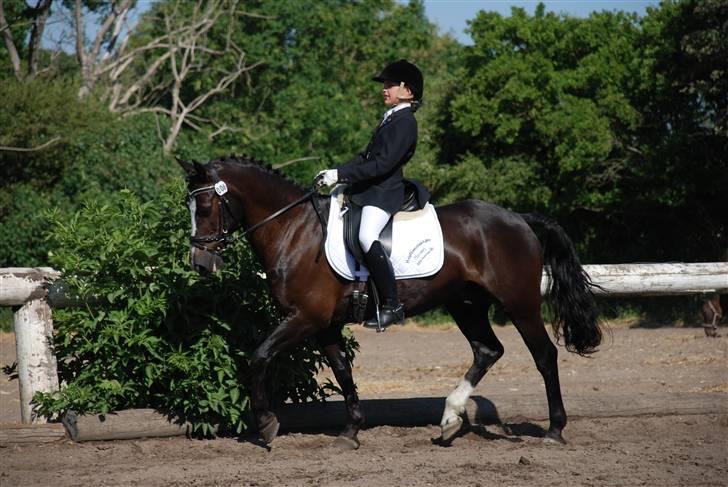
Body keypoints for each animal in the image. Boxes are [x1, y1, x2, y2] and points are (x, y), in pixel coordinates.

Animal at [178, 155, 604, 450]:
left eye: (205, 207)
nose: (200, 264)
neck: (294, 231)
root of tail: (518, 218)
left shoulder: (305, 318)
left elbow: (259, 356)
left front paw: (267, 423)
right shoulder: (325, 325)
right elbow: (343, 372)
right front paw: (351, 431)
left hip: (520, 304)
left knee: (544, 355)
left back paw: (554, 430)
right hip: (465, 305)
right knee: (487, 350)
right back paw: (450, 420)